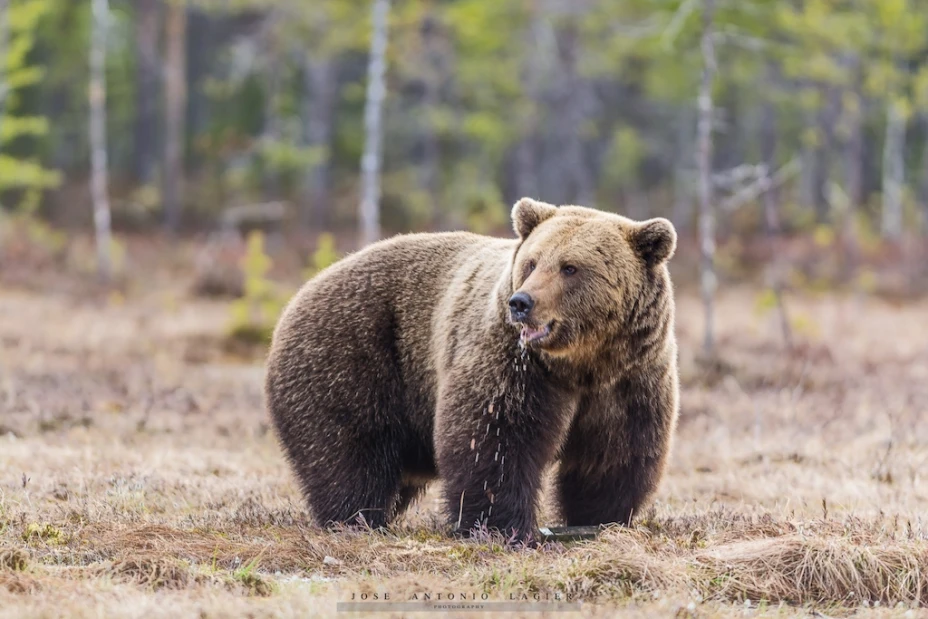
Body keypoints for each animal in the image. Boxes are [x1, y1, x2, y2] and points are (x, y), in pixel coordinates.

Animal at [264, 198, 679, 544]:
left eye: (570, 267)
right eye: (532, 262)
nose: (522, 302)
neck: (583, 363)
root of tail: (299, 293)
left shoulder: (632, 379)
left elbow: (614, 455)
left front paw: (598, 518)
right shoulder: (514, 365)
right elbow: (496, 438)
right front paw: (504, 527)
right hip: (353, 353)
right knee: (349, 451)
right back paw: (358, 518)